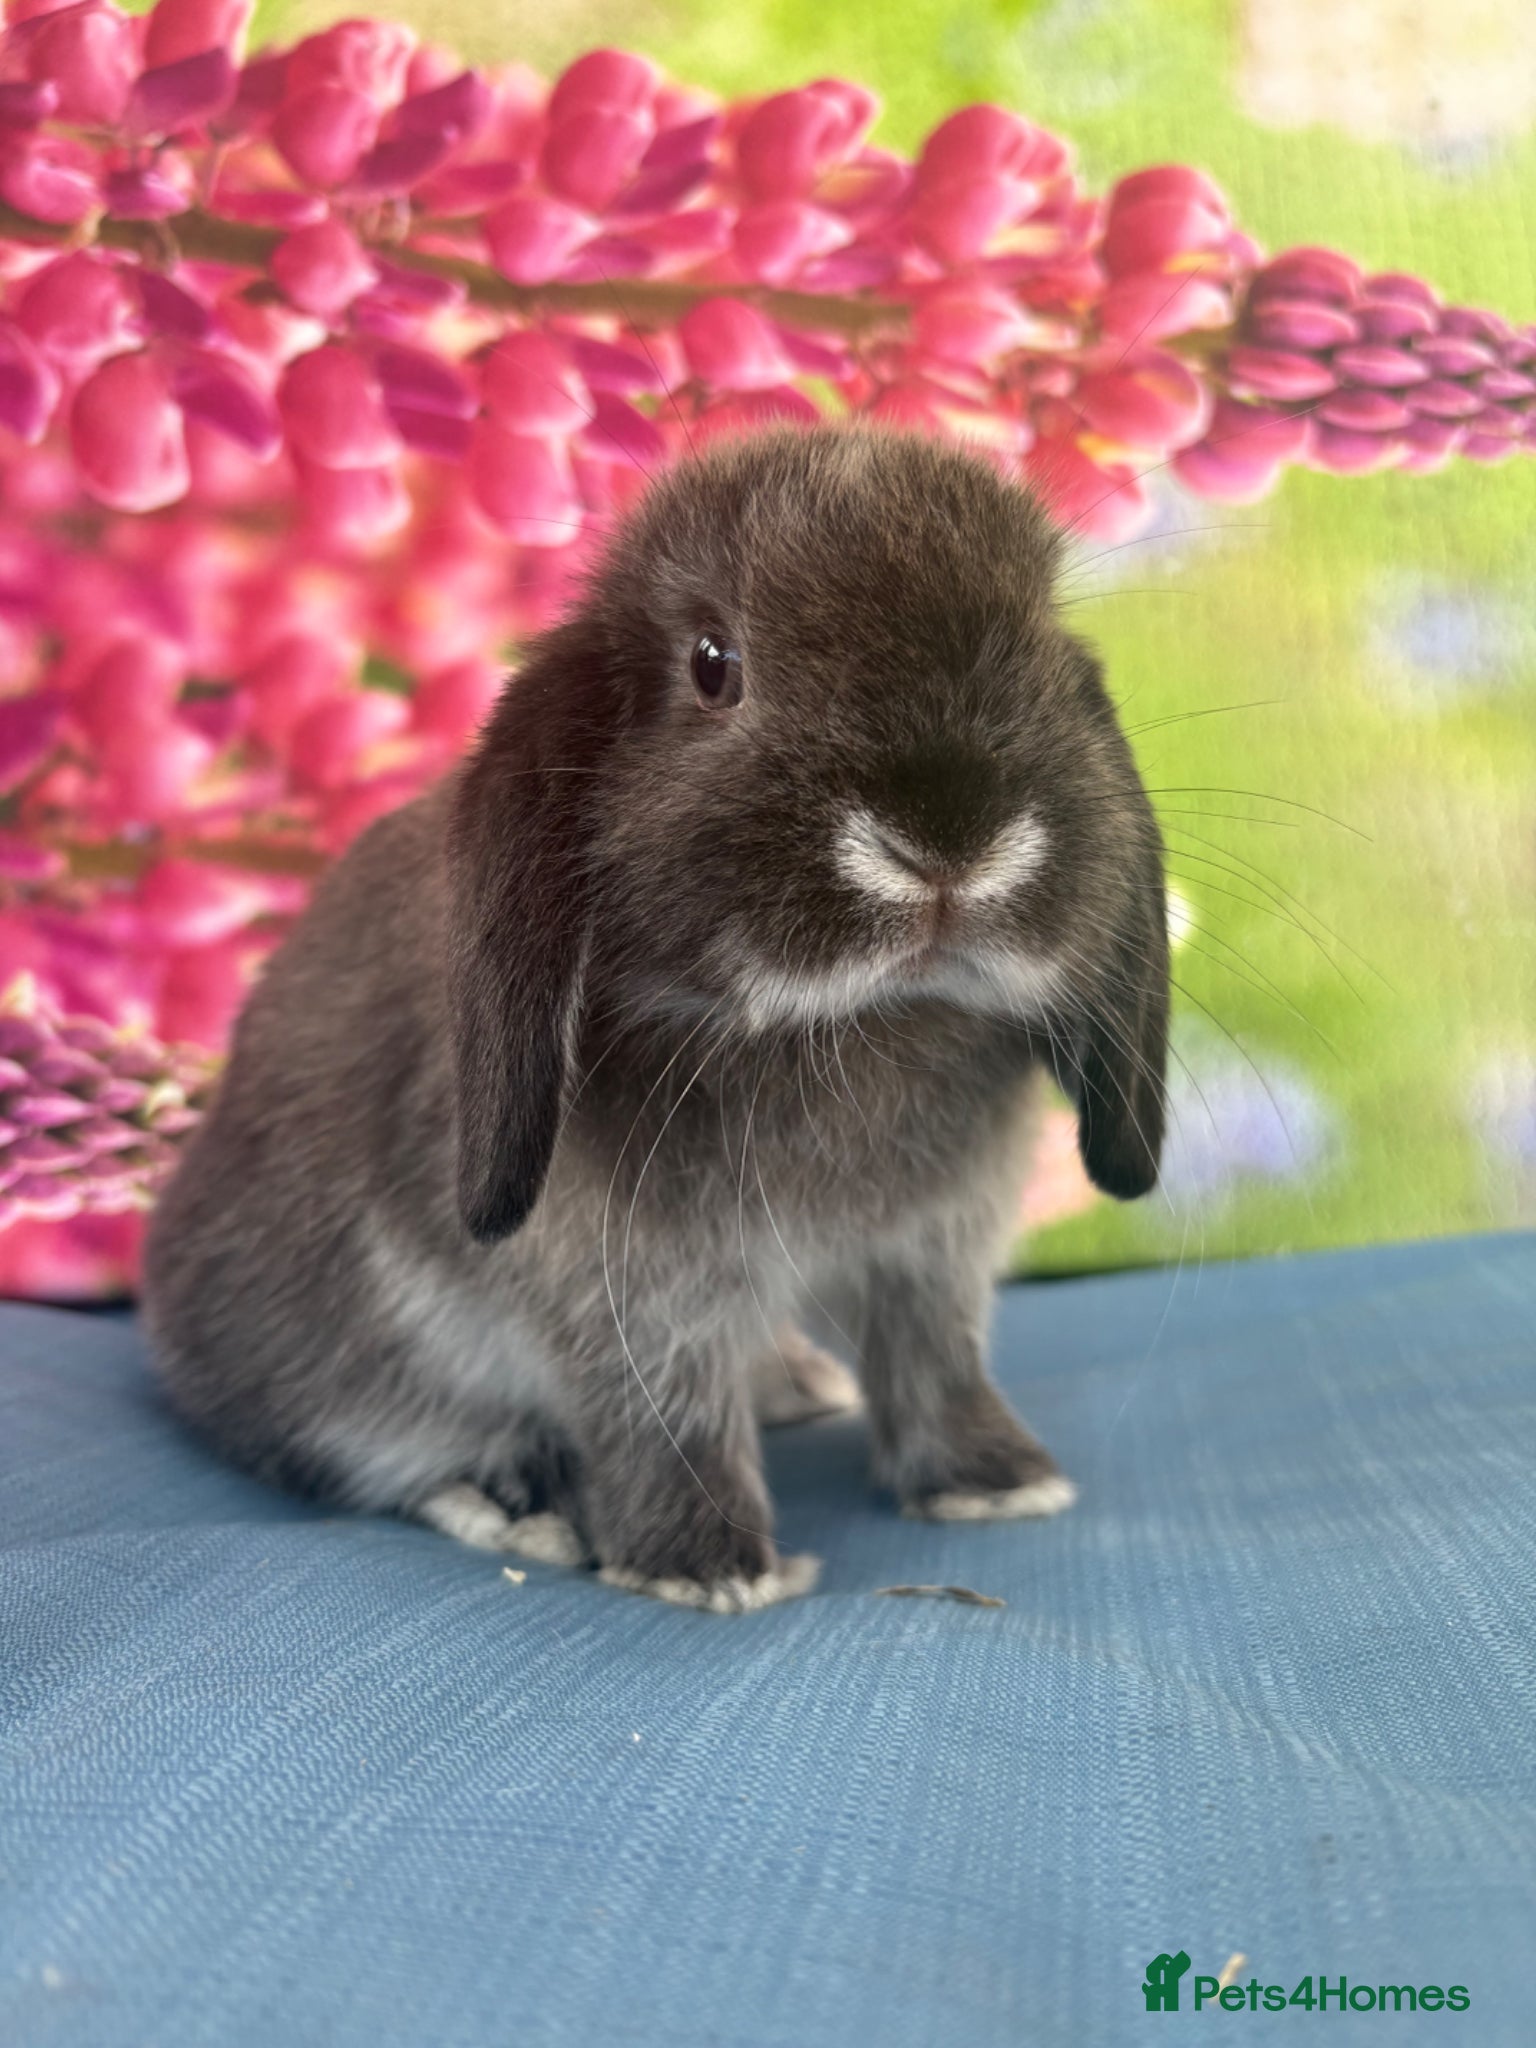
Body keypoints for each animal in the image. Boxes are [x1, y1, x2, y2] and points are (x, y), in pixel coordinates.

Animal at [142, 424, 1168, 1614]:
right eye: (714, 663)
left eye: (1043, 639)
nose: (947, 835)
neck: (858, 1023)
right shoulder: (630, 1283)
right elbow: (664, 1410)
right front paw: (707, 1568)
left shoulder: (931, 1251)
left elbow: (938, 1359)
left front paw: (997, 1482)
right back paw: (518, 1501)